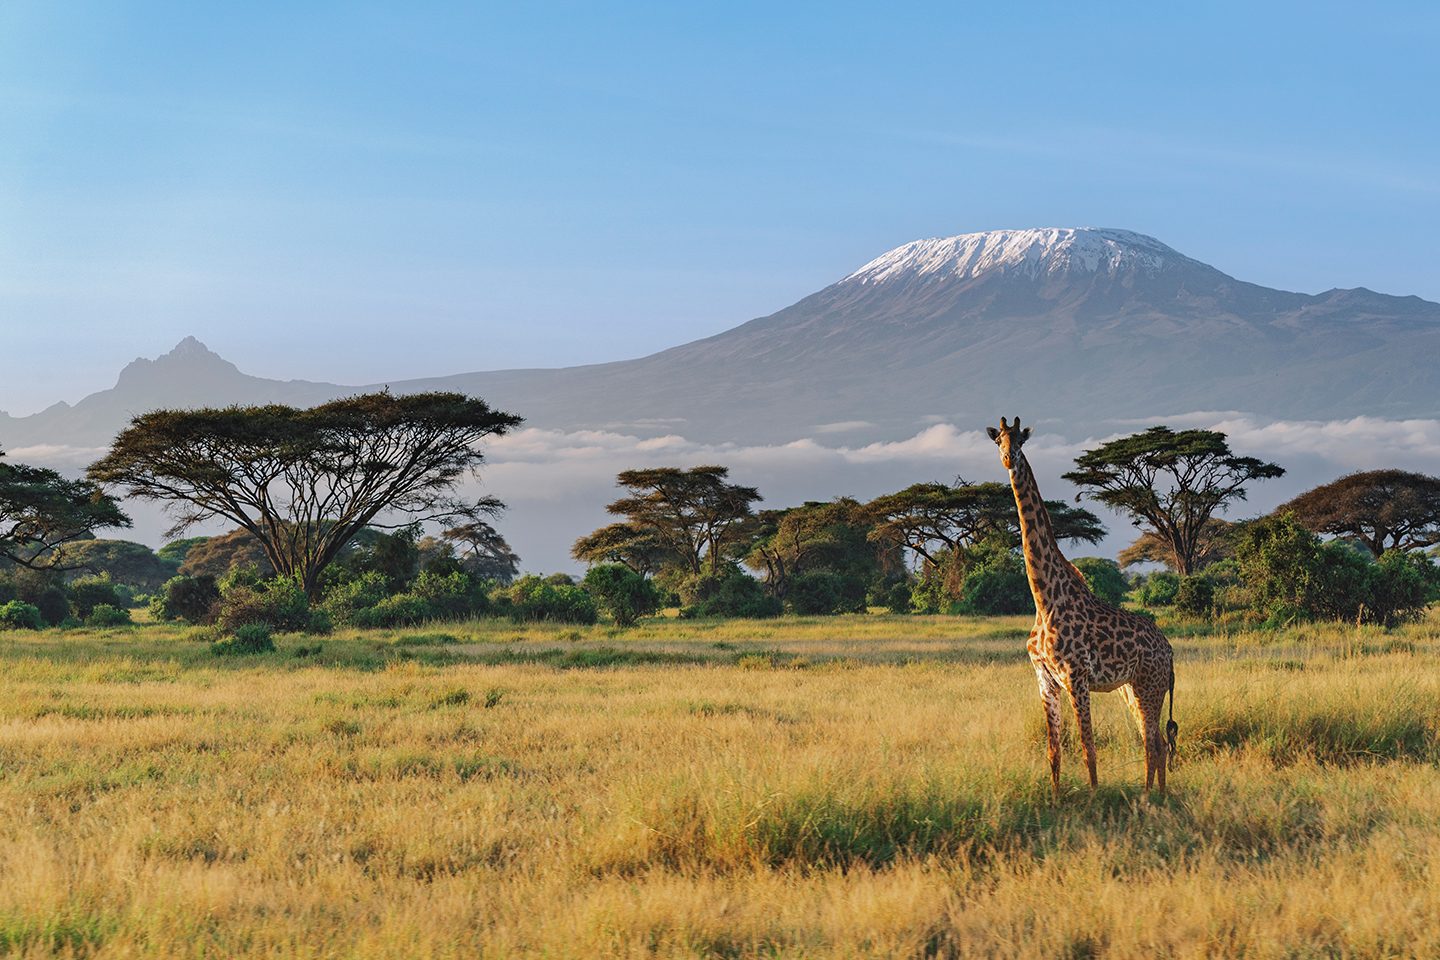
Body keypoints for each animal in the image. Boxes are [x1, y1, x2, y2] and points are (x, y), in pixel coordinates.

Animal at [985, 416, 1178, 795]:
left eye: (1020, 441)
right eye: (998, 440)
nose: (1008, 460)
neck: (1044, 599)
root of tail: (1169, 651)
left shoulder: (1077, 675)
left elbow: (1089, 748)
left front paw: (1092, 798)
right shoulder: (1045, 678)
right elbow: (1054, 750)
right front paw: (1056, 799)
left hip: (1150, 685)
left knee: (1154, 742)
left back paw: (1150, 797)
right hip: (1131, 688)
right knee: (1157, 742)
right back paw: (1157, 795)